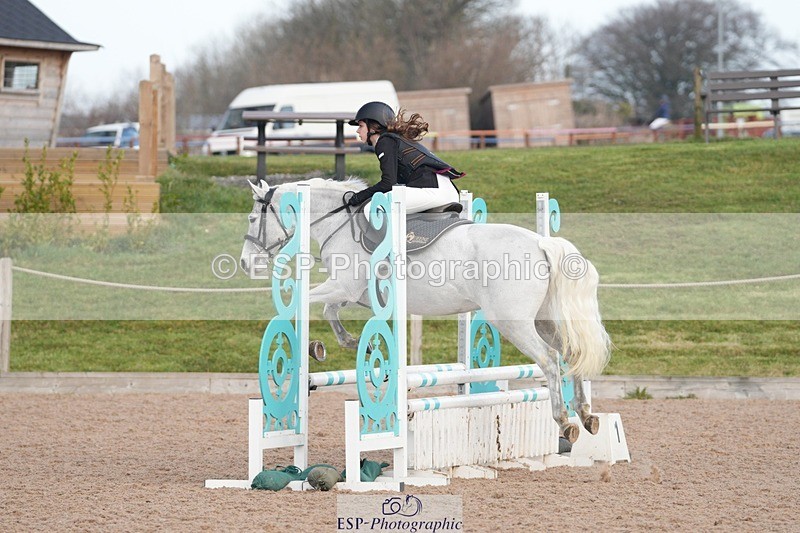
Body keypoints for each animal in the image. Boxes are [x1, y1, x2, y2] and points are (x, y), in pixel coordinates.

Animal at [240, 177, 611, 443]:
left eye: (252, 217)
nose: (245, 263)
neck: (339, 223)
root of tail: (541, 242)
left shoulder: (344, 286)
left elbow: (312, 303)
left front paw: (322, 346)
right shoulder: (353, 293)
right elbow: (331, 310)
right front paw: (349, 345)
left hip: (513, 322)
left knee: (549, 359)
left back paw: (564, 421)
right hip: (544, 319)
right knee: (572, 353)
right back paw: (585, 415)